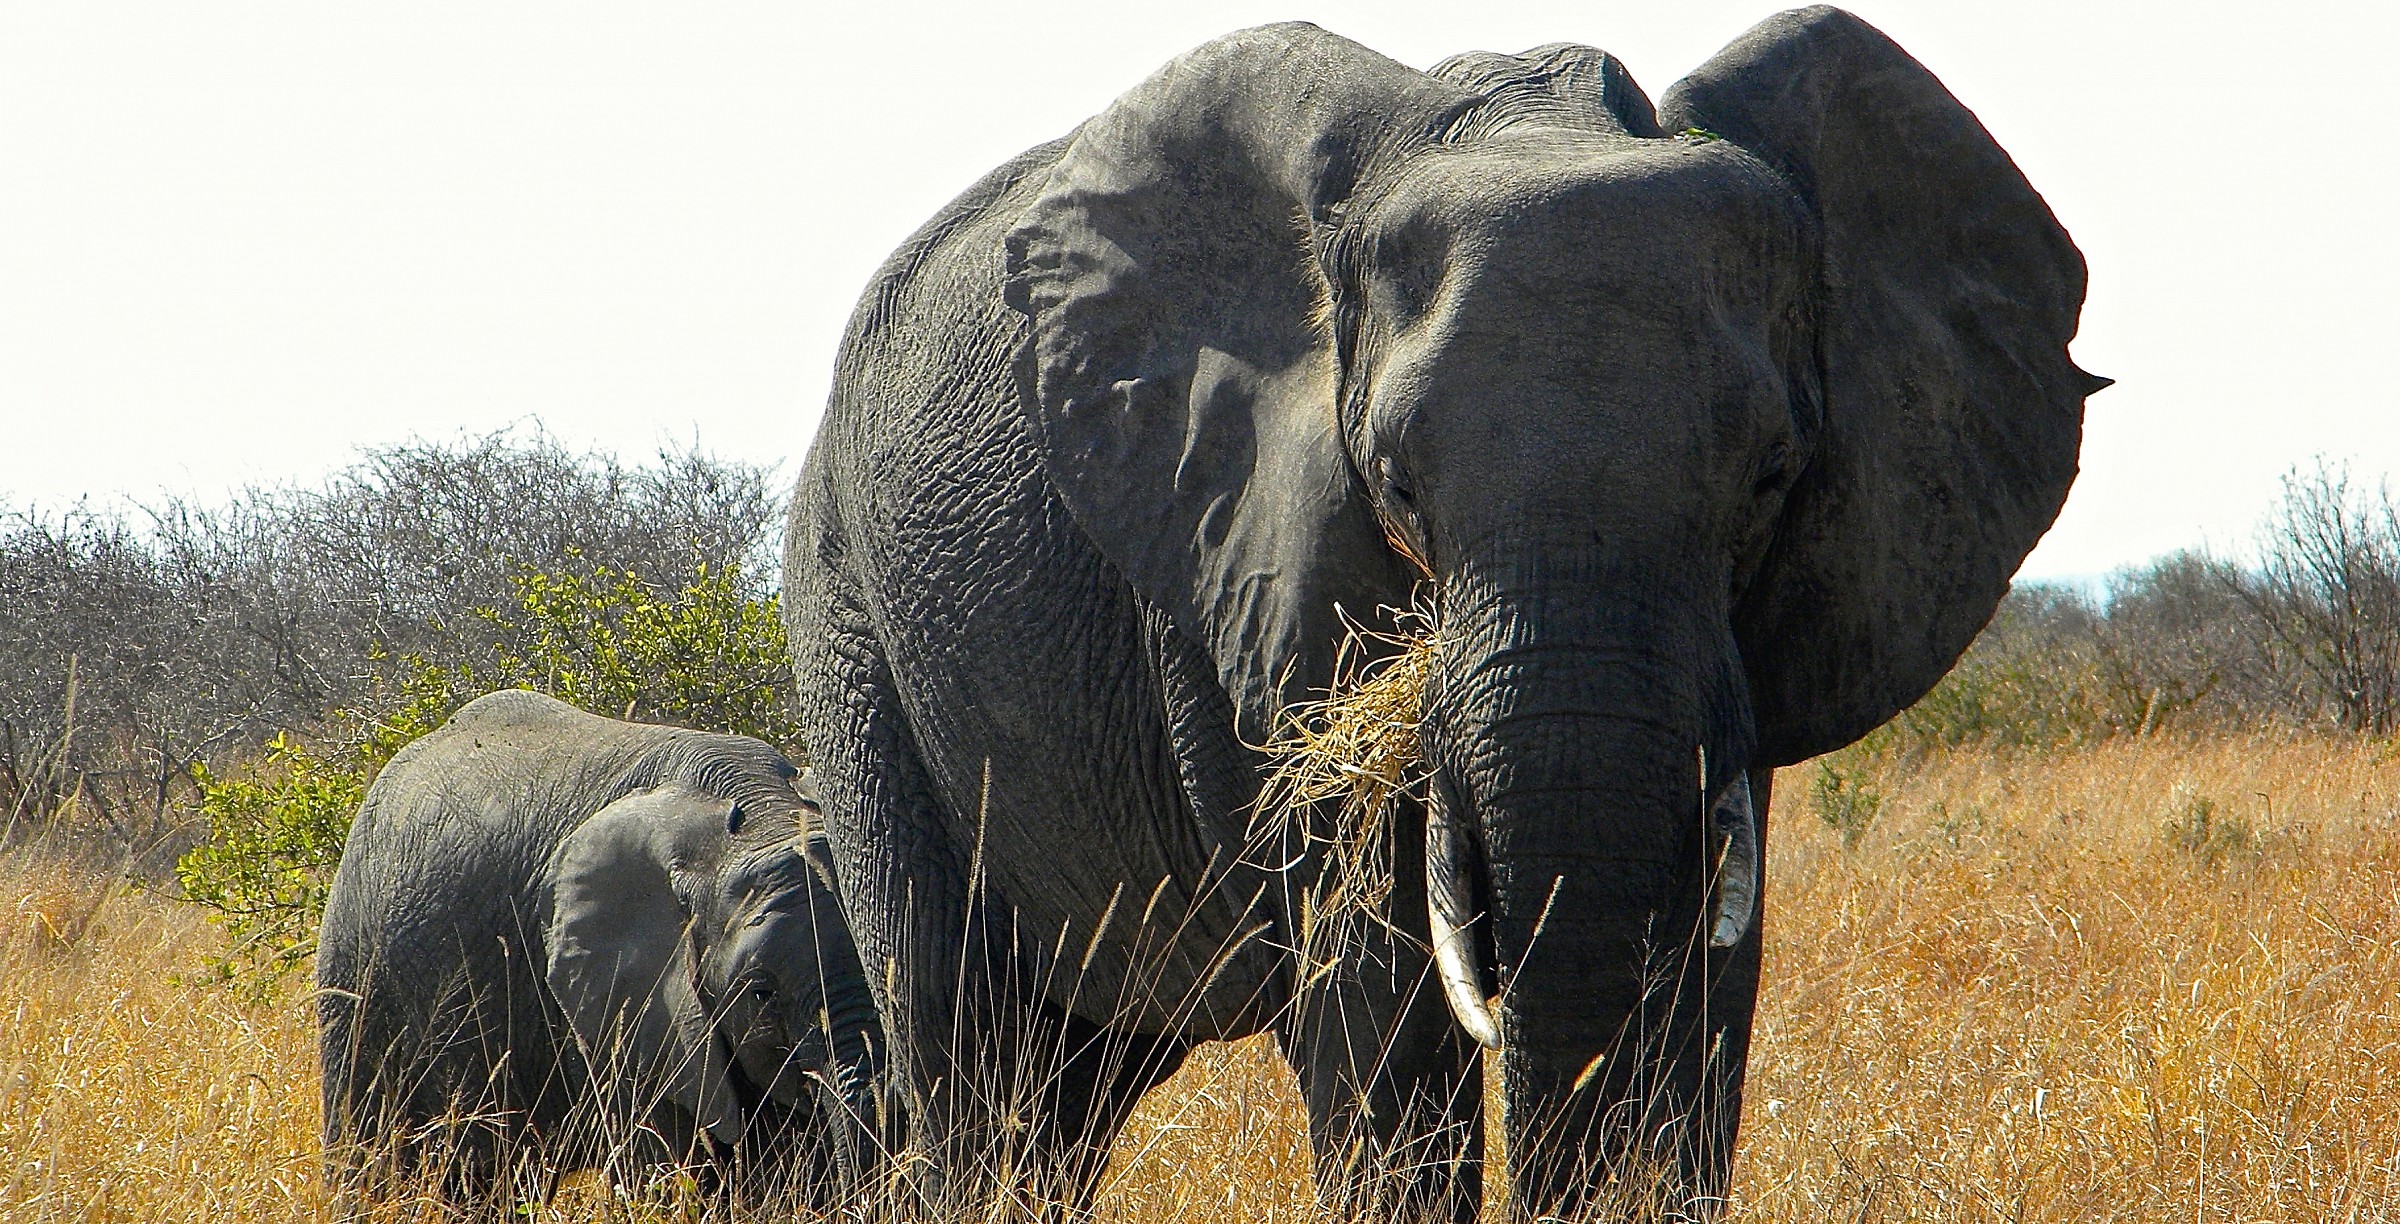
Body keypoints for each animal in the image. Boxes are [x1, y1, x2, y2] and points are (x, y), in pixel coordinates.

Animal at [782, 7, 2100, 1219]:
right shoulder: (1239, 565)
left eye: (1774, 477)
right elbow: (1377, 987)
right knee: (970, 1052)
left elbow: (1709, 968)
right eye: (1398, 485)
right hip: (851, 624)